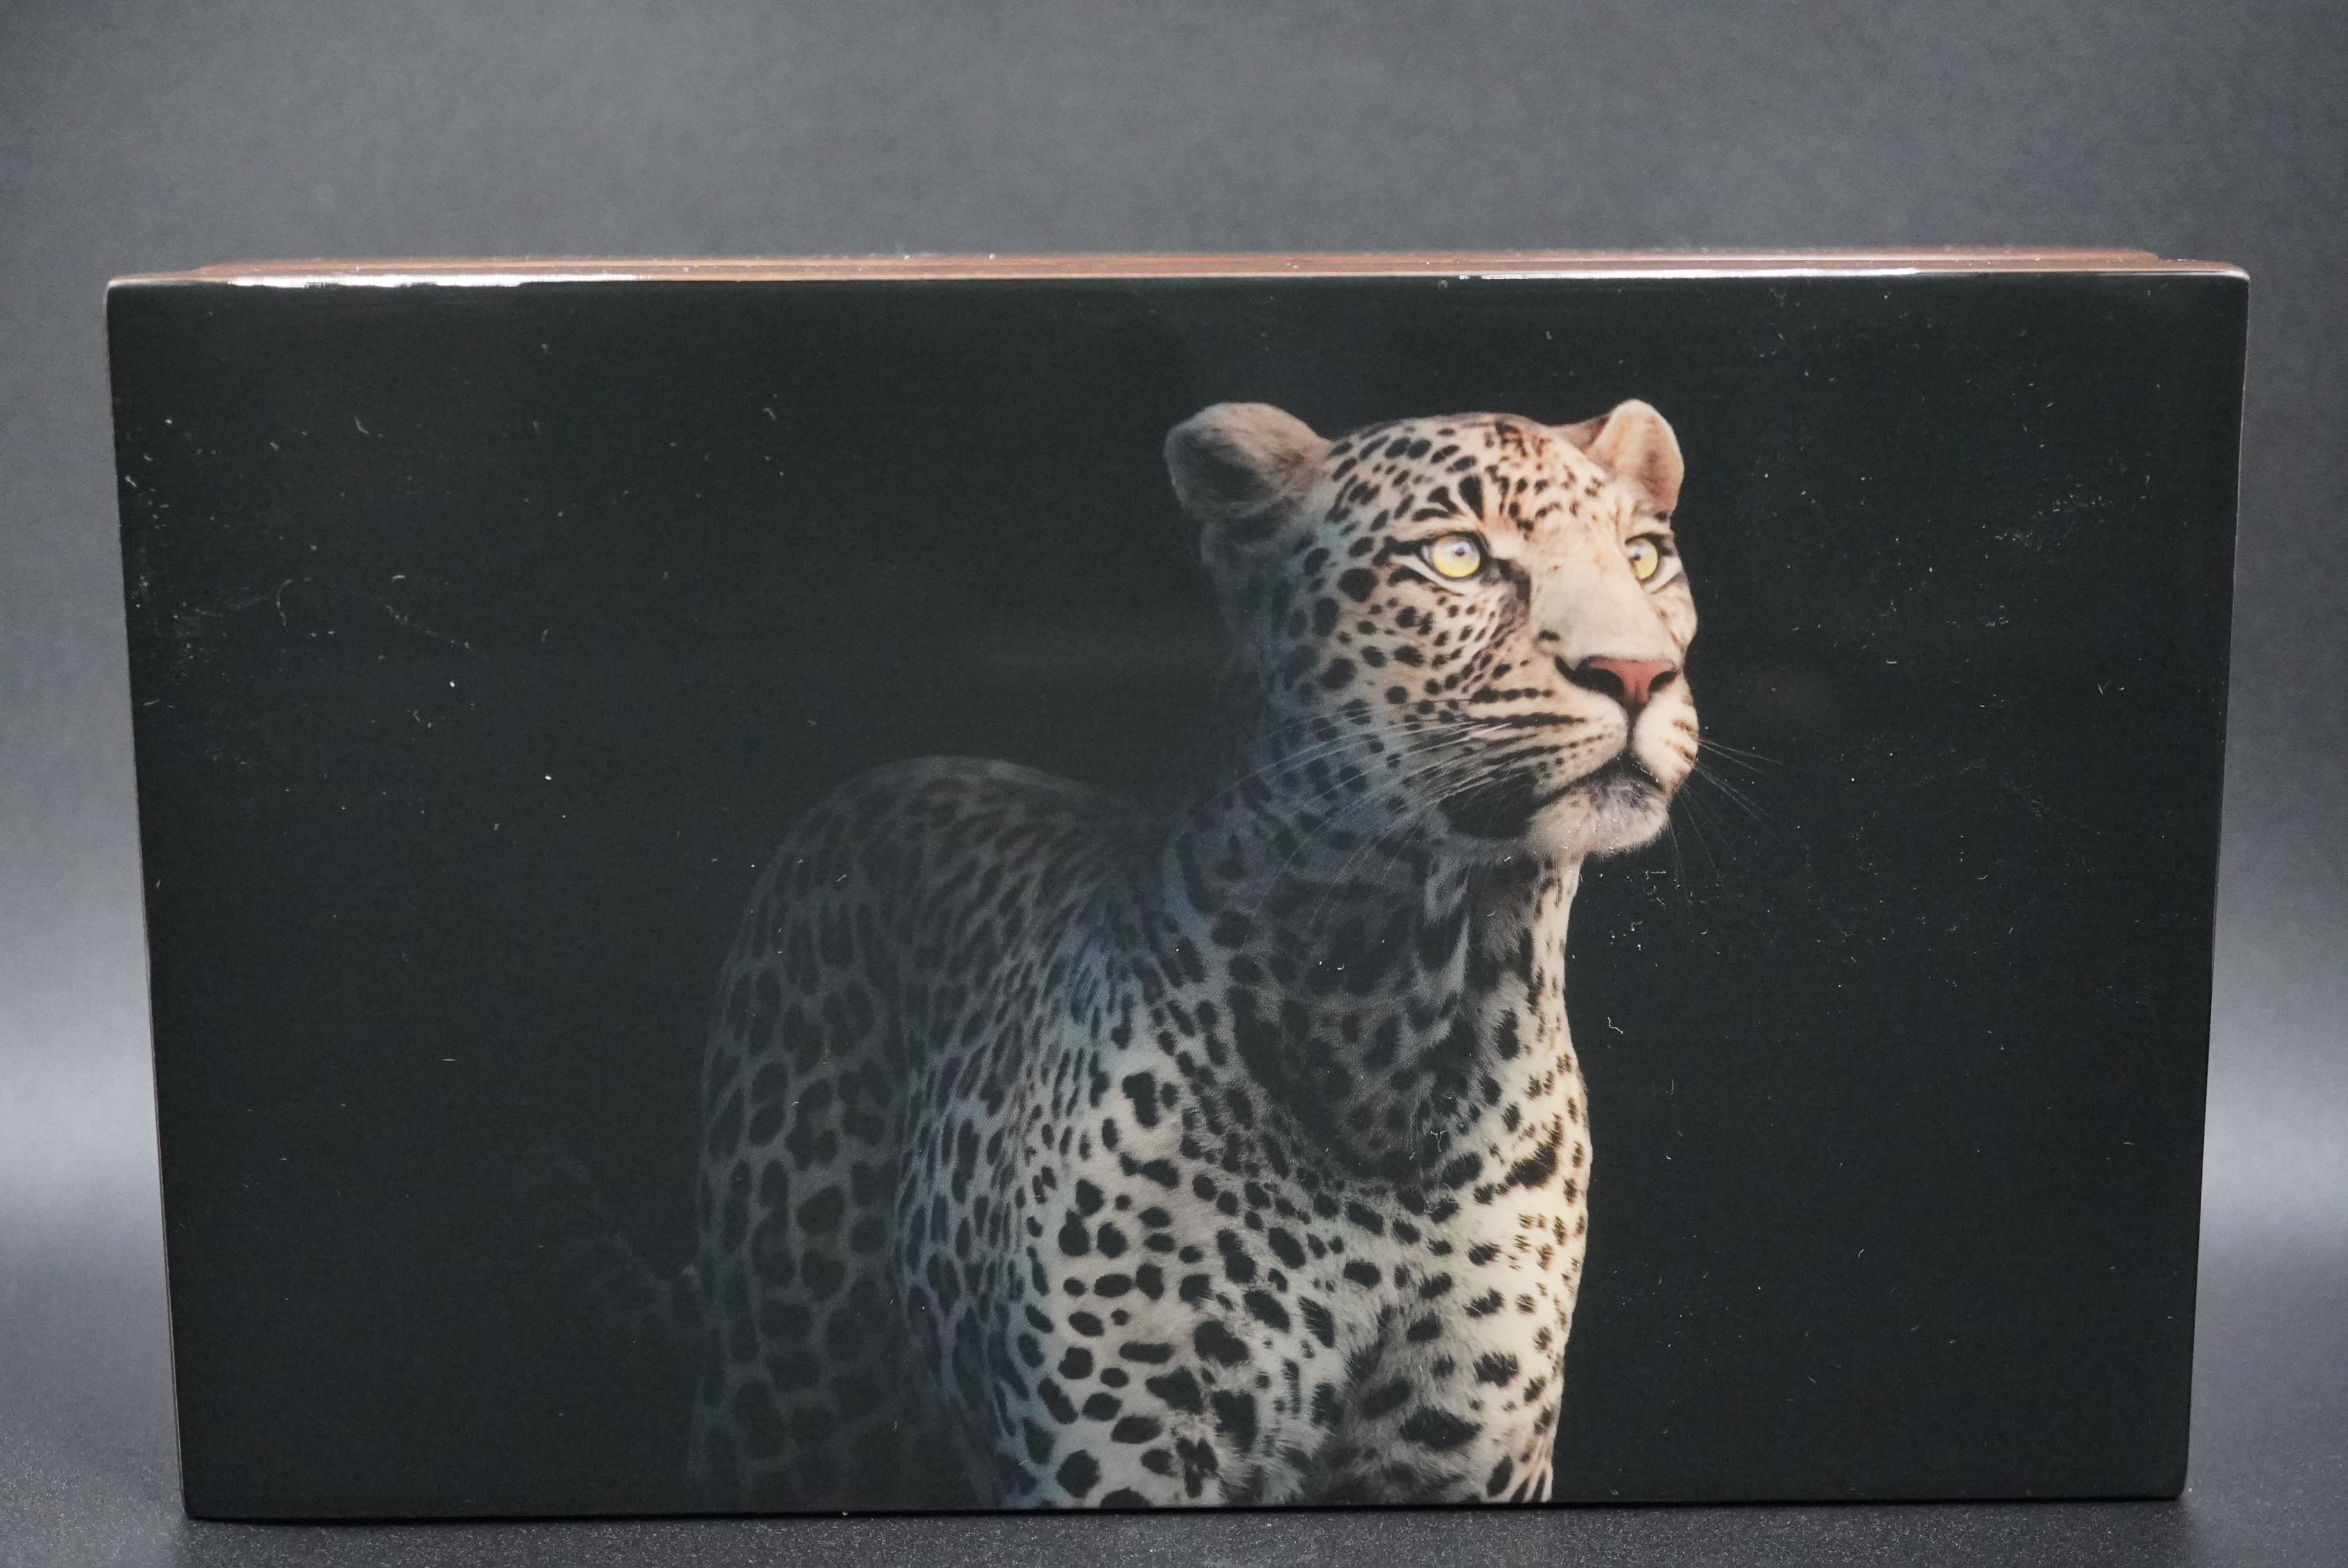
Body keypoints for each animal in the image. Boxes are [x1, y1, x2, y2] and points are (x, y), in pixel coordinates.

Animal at [686, 396, 1701, 1510]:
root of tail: (889, 774)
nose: (1639, 673)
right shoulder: (1119, 1456)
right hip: (784, 1390)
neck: (1413, 1027)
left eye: (1645, 559)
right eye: (1459, 558)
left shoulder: (1467, 1456)